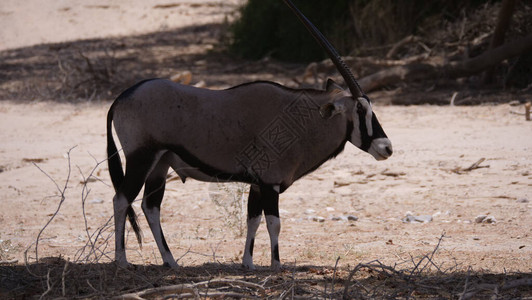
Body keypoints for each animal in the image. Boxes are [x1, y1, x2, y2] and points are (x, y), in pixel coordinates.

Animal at [108, 0, 390, 270]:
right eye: (360, 109)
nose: (386, 147)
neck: (300, 118)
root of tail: (122, 98)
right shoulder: (270, 183)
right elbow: (274, 223)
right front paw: (276, 265)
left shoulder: (257, 183)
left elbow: (252, 220)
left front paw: (248, 263)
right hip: (142, 158)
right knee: (122, 199)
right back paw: (122, 261)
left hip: (161, 163)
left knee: (150, 206)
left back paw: (171, 261)